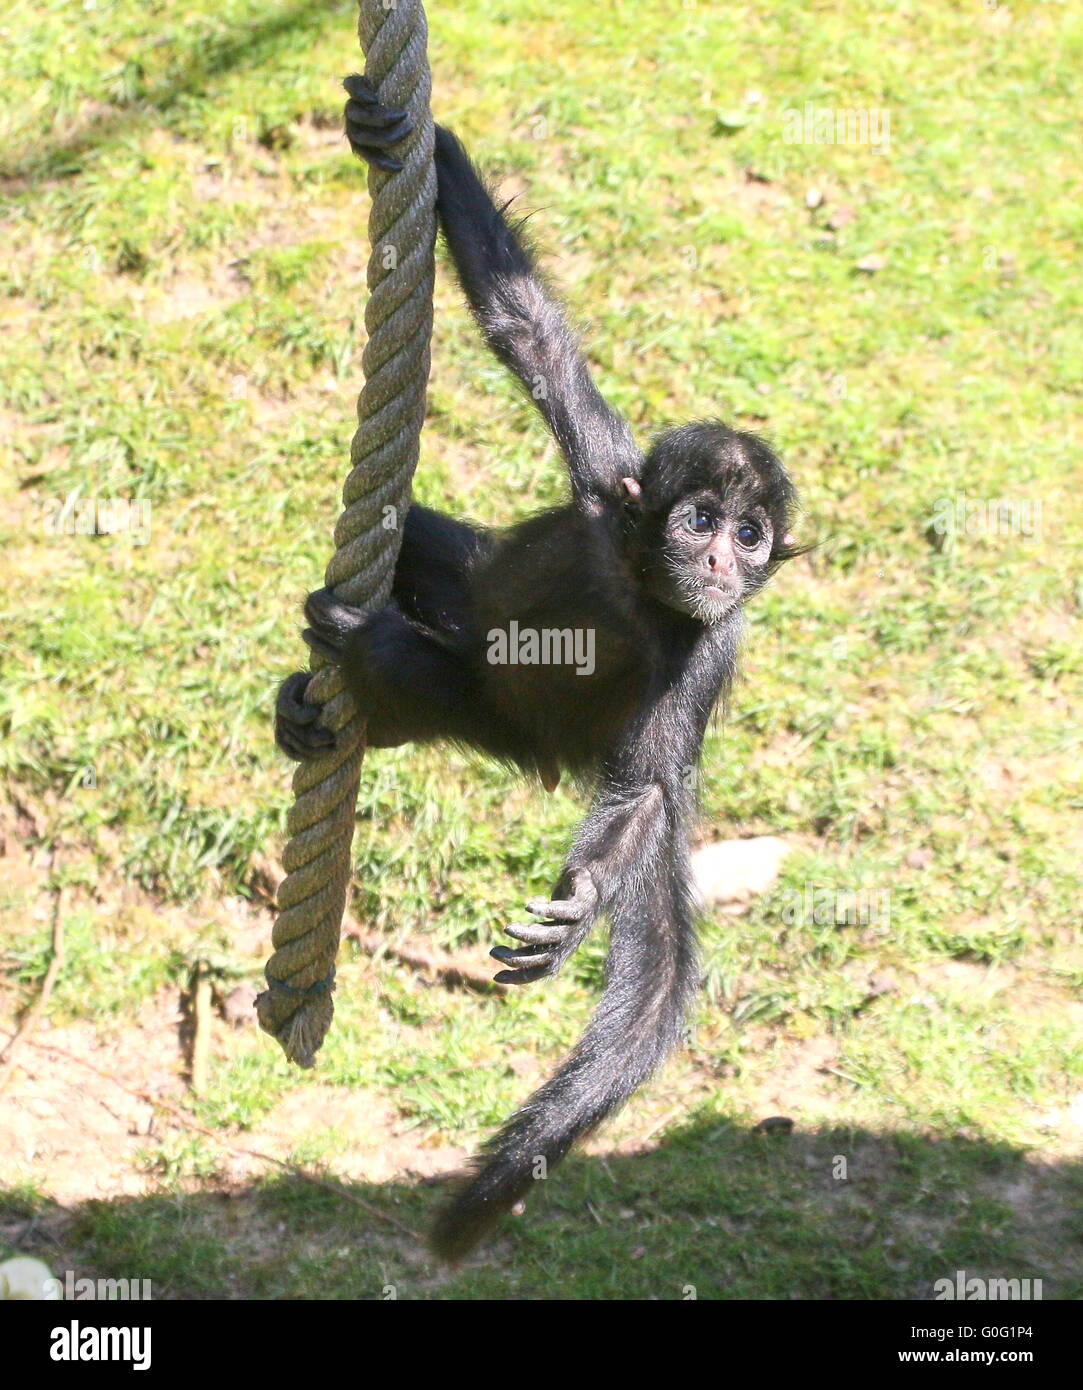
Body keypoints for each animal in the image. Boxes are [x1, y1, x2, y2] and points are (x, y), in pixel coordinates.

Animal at [279, 78, 800, 1273]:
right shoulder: (612, 487)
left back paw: (357, 672)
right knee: (425, 551)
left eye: (751, 537)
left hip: (489, 707)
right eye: (700, 519)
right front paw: (405, 135)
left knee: (398, 655)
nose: (719, 559)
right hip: (469, 585)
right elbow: (525, 327)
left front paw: (583, 905)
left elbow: (646, 789)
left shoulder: (709, 647)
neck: (645, 592)